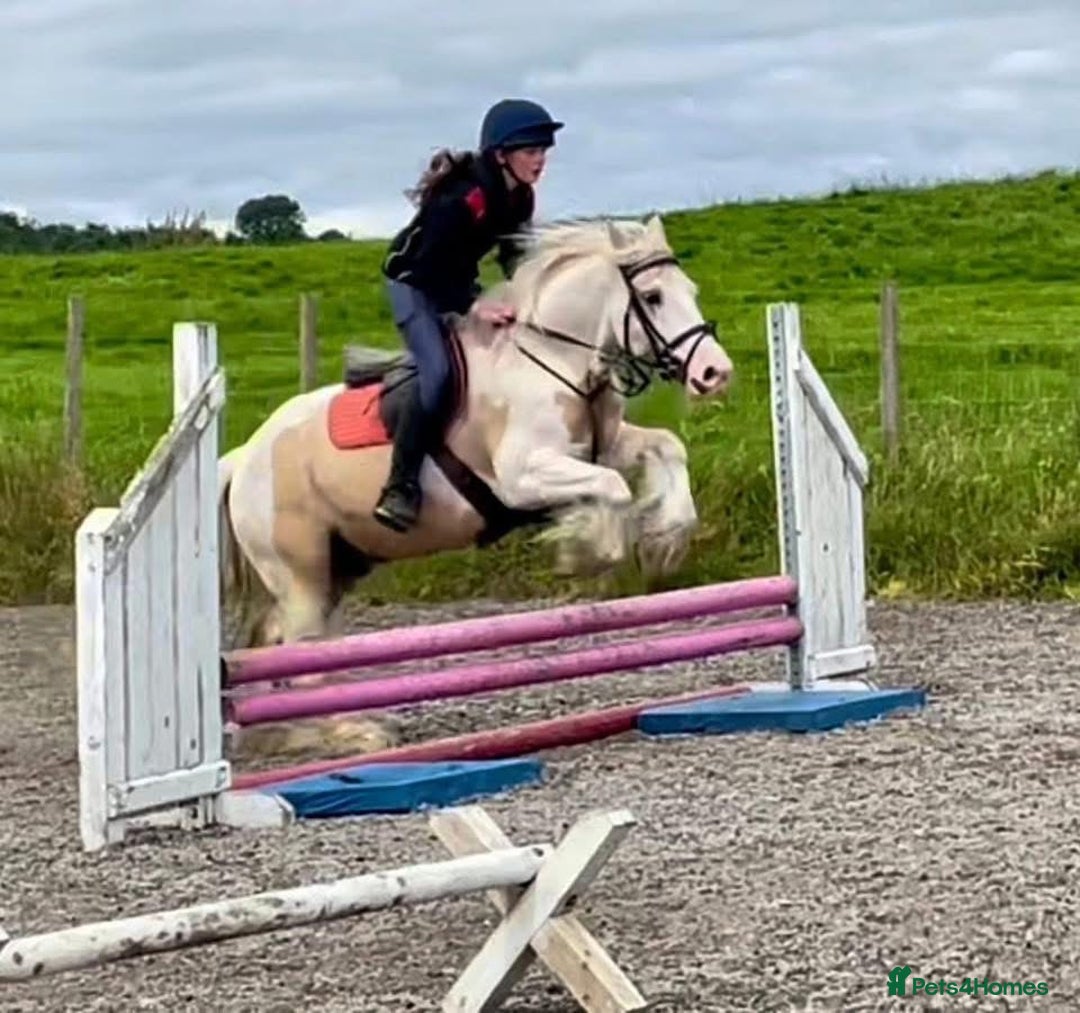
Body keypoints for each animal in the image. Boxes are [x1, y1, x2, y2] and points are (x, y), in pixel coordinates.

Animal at [218, 213, 734, 759]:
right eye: (653, 297)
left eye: (691, 291)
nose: (715, 373)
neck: (553, 359)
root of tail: (243, 458)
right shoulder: (520, 477)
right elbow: (612, 488)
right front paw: (588, 549)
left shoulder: (604, 445)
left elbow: (666, 448)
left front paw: (666, 540)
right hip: (302, 573)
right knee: (303, 652)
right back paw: (351, 732)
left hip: (337, 567)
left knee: (284, 644)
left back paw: (293, 732)